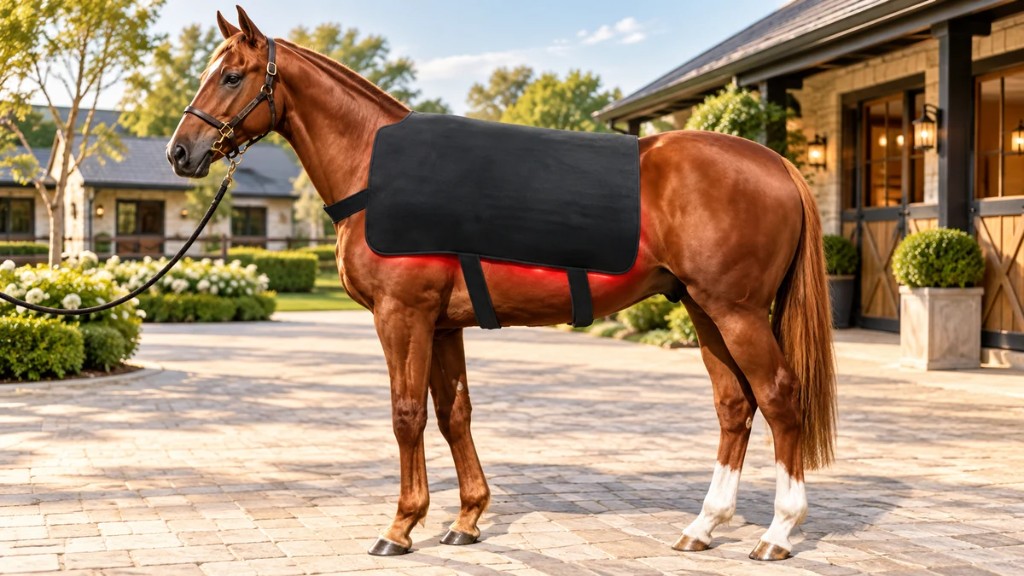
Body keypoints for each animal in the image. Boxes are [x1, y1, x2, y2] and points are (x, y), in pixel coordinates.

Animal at [167, 6, 837, 562]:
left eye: (232, 76)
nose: (181, 152)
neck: (380, 174)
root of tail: (778, 164)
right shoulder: (442, 325)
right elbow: (453, 413)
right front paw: (465, 518)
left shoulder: (401, 315)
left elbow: (406, 414)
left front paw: (400, 526)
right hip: (703, 309)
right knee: (734, 406)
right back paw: (704, 525)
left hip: (737, 312)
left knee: (779, 397)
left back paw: (778, 533)